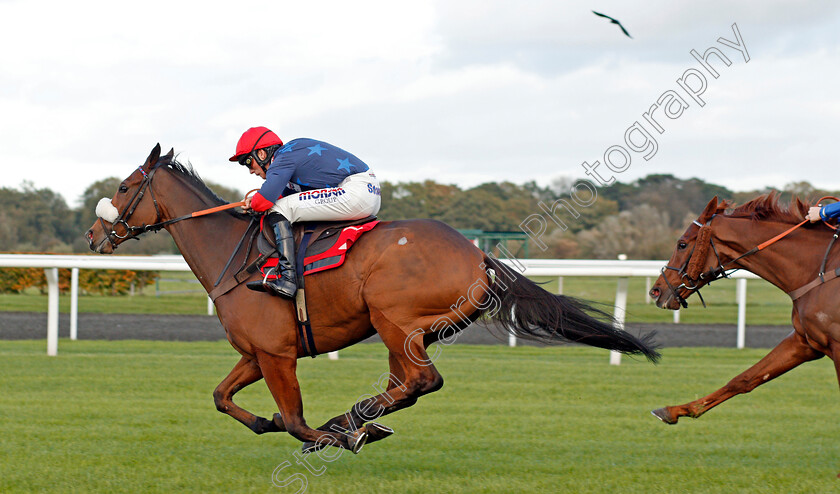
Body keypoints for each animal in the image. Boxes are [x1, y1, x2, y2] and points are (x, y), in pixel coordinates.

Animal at [87, 145, 664, 454]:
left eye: (123, 187)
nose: (94, 236)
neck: (237, 256)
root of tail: (477, 254)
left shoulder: (276, 354)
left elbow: (294, 419)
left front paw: (322, 435)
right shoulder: (256, 354)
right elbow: (221, 397)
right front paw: (268, 422)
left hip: (394, 319)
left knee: (420, 382)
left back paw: (351, 423)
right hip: (411, 332)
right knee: (404, 386)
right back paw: (359, 418)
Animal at [648, 193, 840, 424]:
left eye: (682, 244)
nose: (655, 291)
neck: (817, 270)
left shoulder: (837, 346)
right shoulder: (805, 341)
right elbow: (745, 379)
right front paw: (675, 410)